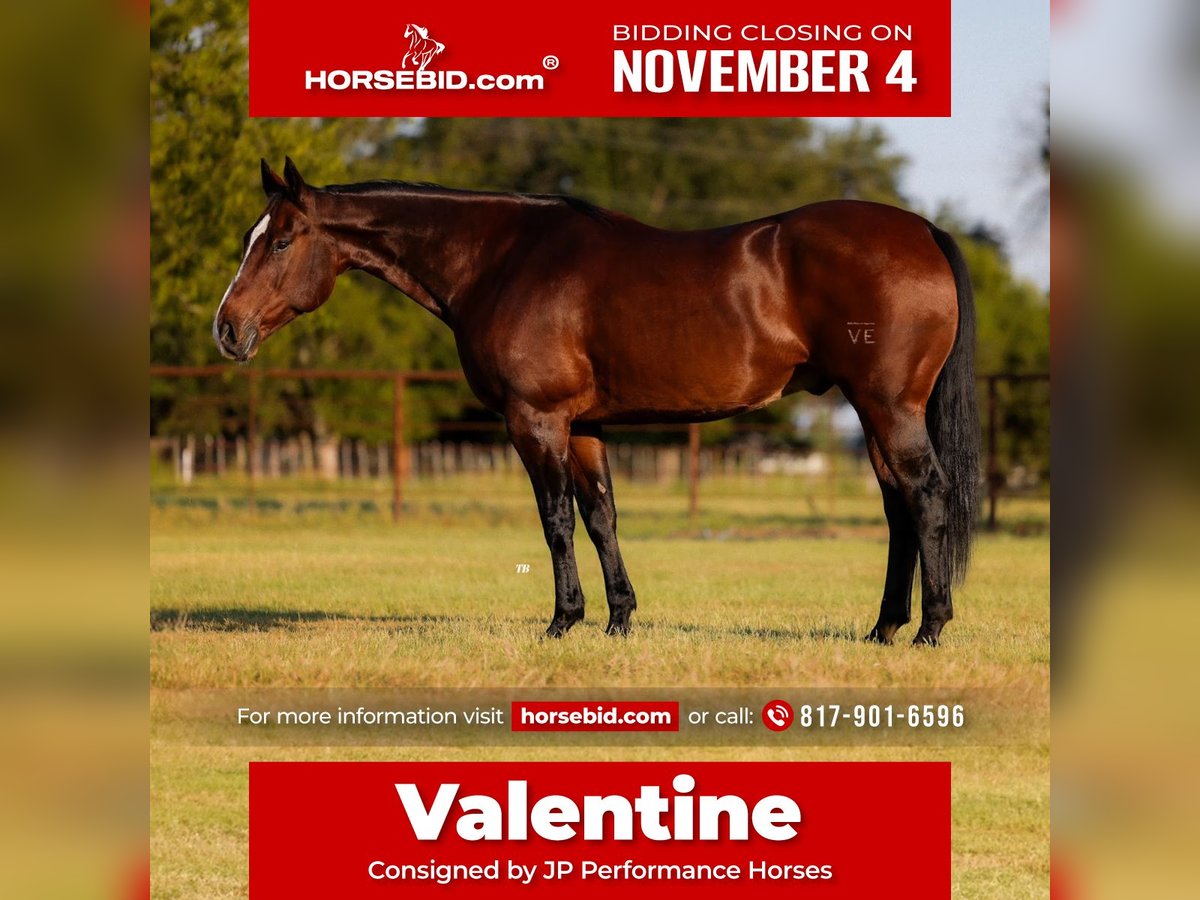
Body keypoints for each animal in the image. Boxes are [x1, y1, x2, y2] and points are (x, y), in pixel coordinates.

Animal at [216, 158, 979, 643]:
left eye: (280, 240)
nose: (227, 328)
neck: (502, 259)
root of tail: (922, 229)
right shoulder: (584, 426)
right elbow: (601, 516)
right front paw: (618, 619)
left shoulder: (537, 420)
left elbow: (556, 520)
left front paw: (562, 620)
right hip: (874, 410)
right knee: (898, 506)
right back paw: (883, 627)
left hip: (887, 406)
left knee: (927, 494)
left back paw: (930, 628)